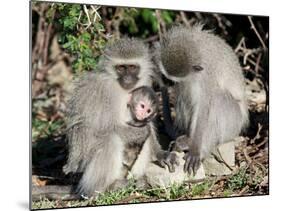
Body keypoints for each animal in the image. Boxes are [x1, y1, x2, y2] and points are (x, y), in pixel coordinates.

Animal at [63, 38, 177, 198]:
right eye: (121, 68)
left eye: (132, 67)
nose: (127, 78)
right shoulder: (103, 91)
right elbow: (92, 128)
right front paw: (138, 132)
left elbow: (148, 125)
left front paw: (161, 154)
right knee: (111, 139)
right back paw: (103, 189)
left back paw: (138, 181)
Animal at [156, 24, 248, 176]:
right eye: (165, 77)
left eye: (170, 80)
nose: (165, 84)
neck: (196, 44)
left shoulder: (206, 75)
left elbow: (203, 107)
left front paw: (195, 150)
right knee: (185, 97)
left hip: (233, 124)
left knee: (217, 98)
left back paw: (194, 145)